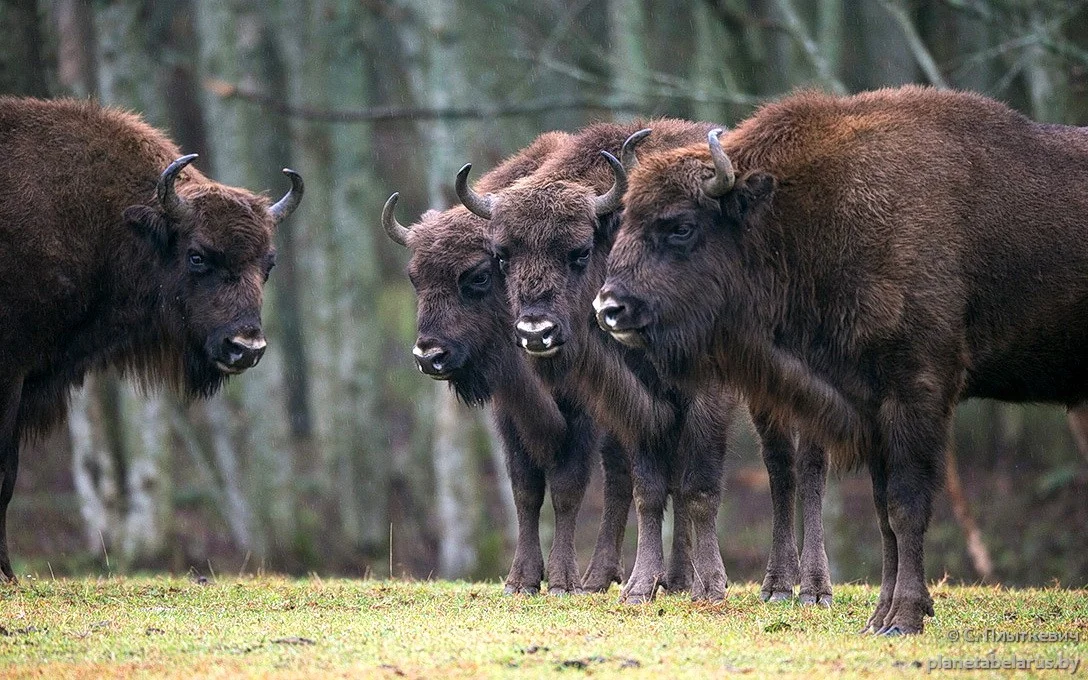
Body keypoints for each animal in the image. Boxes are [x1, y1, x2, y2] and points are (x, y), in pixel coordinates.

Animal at [385, 131, 635, 587]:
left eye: (479, 275)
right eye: (415, 279)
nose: (429, 355)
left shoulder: (581, 413)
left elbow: (568, 488)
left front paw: (562, 581)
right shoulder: (509, 412)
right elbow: (525, 489)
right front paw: (521, 580)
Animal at [596, 84, 1088, 631]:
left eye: (681, 226)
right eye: (626, 219)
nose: (609, 307)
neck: (811, 214)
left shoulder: (918, 391)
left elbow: (906, 505)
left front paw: (904, 618)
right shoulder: (870, 405)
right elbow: (884, 512)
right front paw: (881, 618)